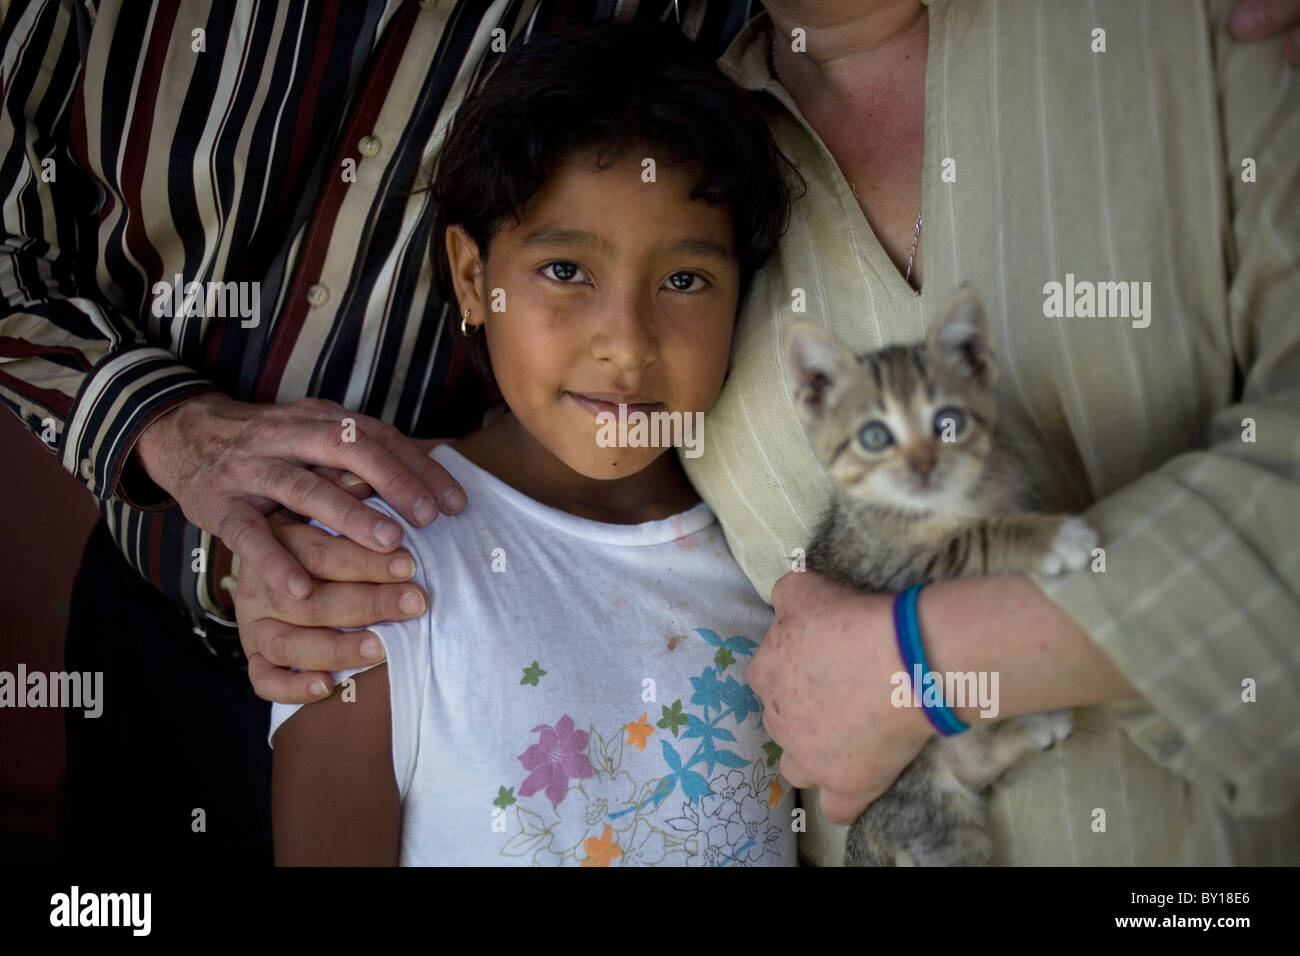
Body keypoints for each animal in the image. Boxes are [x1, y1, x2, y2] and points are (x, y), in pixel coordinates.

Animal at [780, 286, 1097, 868]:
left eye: (947, 422)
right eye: (874, 435)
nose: (924, 467)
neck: (956, 501)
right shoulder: (895, 566)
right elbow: (978, 539)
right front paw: (1048, 536)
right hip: (928, 803)